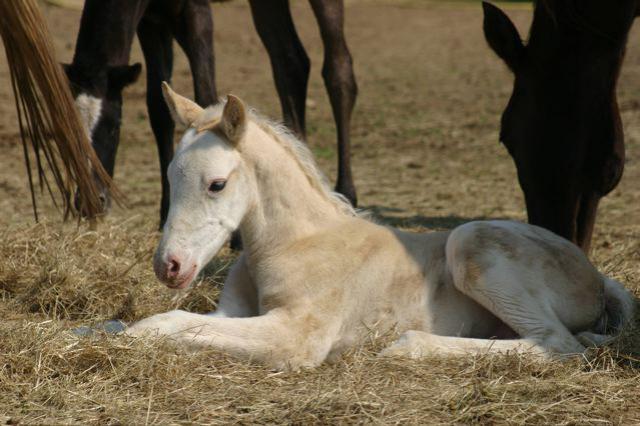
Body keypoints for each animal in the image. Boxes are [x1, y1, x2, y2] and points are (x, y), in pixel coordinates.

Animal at [67, 0, 358, 226]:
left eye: (114, 126)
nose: (90, 202)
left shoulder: (196, 11)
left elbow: (207, 96)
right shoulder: (151, 20)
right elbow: (159, 108)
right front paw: (166, 214)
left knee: (338, 69)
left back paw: (347, 194)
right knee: (290, 63)